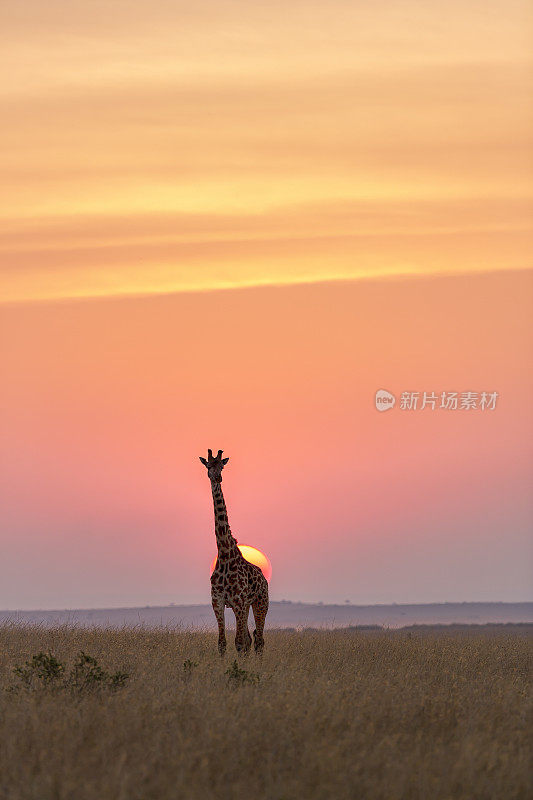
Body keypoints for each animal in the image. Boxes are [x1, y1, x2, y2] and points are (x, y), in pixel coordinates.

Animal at [198, 450, 268, 656]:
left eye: (222, 466)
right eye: (208, 465)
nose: (217, 477)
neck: (224, 553)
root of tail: (265, 579)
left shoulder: (238, 601)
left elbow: (238, 642)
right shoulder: (218, 601)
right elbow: (223, 642)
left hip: (260, 602)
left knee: (259, 640)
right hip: (246, 606)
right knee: (250, 639)